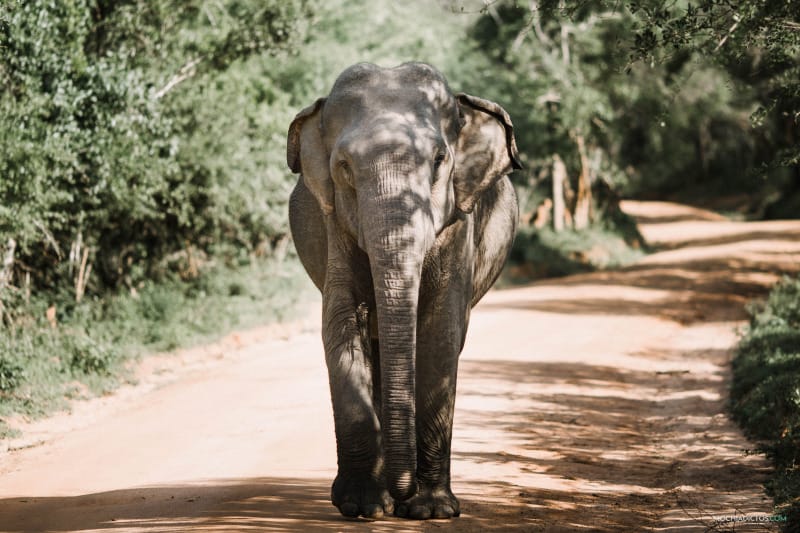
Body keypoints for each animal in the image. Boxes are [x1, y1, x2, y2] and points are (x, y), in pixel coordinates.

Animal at [287, 62, 520, 520]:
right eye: (344, 167)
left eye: (439, 161)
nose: (403, 495)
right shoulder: (336, 222)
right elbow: (341, 324)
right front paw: (361, 506)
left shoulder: (458, 224)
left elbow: (439, 334)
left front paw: (430, 510)